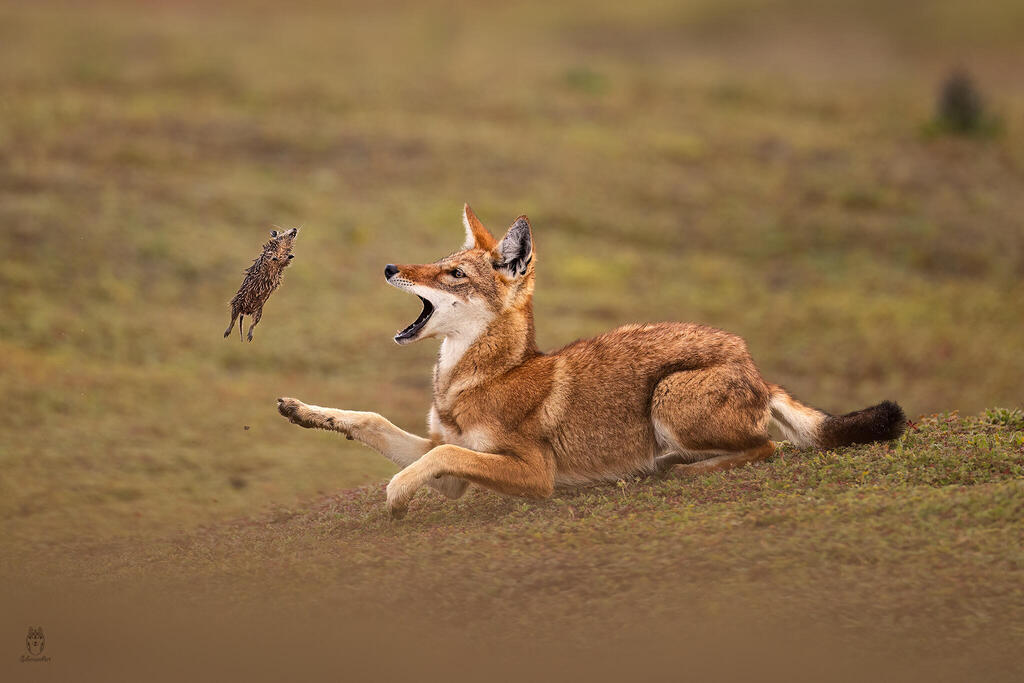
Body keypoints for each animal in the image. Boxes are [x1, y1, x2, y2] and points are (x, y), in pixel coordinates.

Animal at [277, 205, 905, 518]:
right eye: (437, 261)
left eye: (453, 273)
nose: (388, 268)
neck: (474, 380)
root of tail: (753, 366)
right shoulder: (447, 461)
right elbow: (375, 422)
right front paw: (302, 411)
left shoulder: (534, 474)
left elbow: (434, 458)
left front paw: (396, 496)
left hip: (668, 397)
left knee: (767, 448)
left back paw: (678, 469)